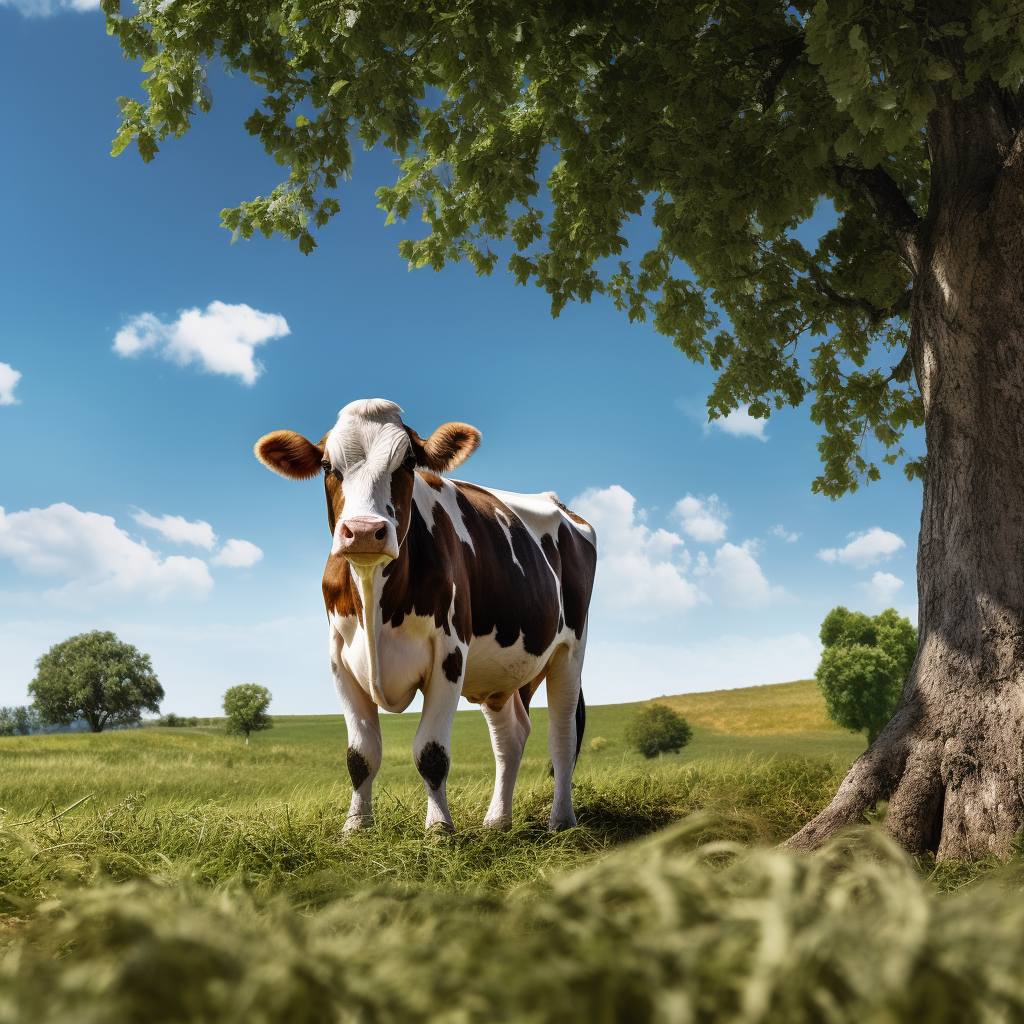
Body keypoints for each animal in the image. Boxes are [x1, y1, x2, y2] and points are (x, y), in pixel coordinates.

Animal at [250, 399, 598, 831]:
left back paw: (561, 820)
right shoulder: (340, 660)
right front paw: (356, 826)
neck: (375, 600)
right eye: (328, 466)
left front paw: (439, 827)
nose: (363, 531)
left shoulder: (449, 654)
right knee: (511, 737)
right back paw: (497, 821)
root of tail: (559, 506)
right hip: (499, 673)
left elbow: (431, 752)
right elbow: (360, 755)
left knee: (562, 737)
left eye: (409, 462)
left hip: (570, 650)